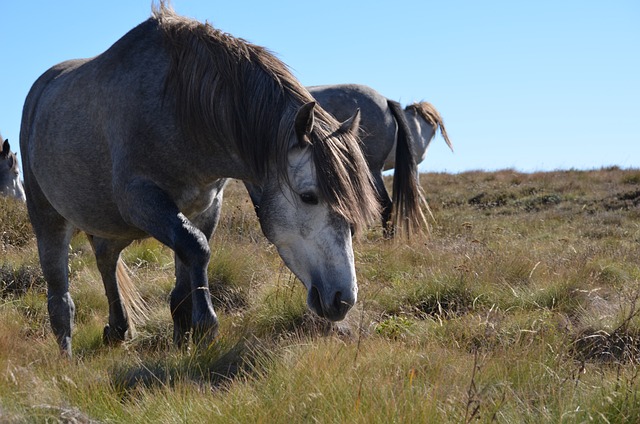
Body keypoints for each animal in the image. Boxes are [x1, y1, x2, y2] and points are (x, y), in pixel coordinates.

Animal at [21, 5, 380, 358]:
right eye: (308, 196)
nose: (343, 299)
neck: (179, 107)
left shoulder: (205, 207)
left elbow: (186, 272)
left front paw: (183, 340)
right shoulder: (142, 201)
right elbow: (197, 248)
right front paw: (207, 327)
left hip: (112, 226)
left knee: (105, 259)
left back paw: (118, 329)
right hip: (50, 220)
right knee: (60, 297)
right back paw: (67, 357)